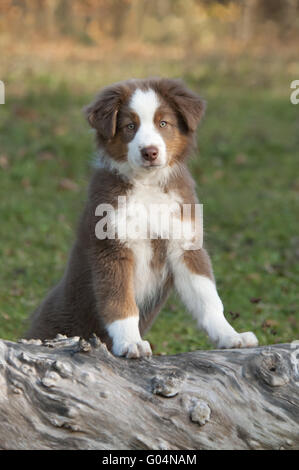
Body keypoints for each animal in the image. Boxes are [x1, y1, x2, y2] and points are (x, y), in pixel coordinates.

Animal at [25, 78, 258, 356]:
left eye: (163, 123)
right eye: (130, 126)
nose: (150, 152)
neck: (147, 185)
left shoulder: (185, 243)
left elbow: (208, 298)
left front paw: (230, 335)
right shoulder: (112, 247)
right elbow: (120, 302)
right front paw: (130, 342)